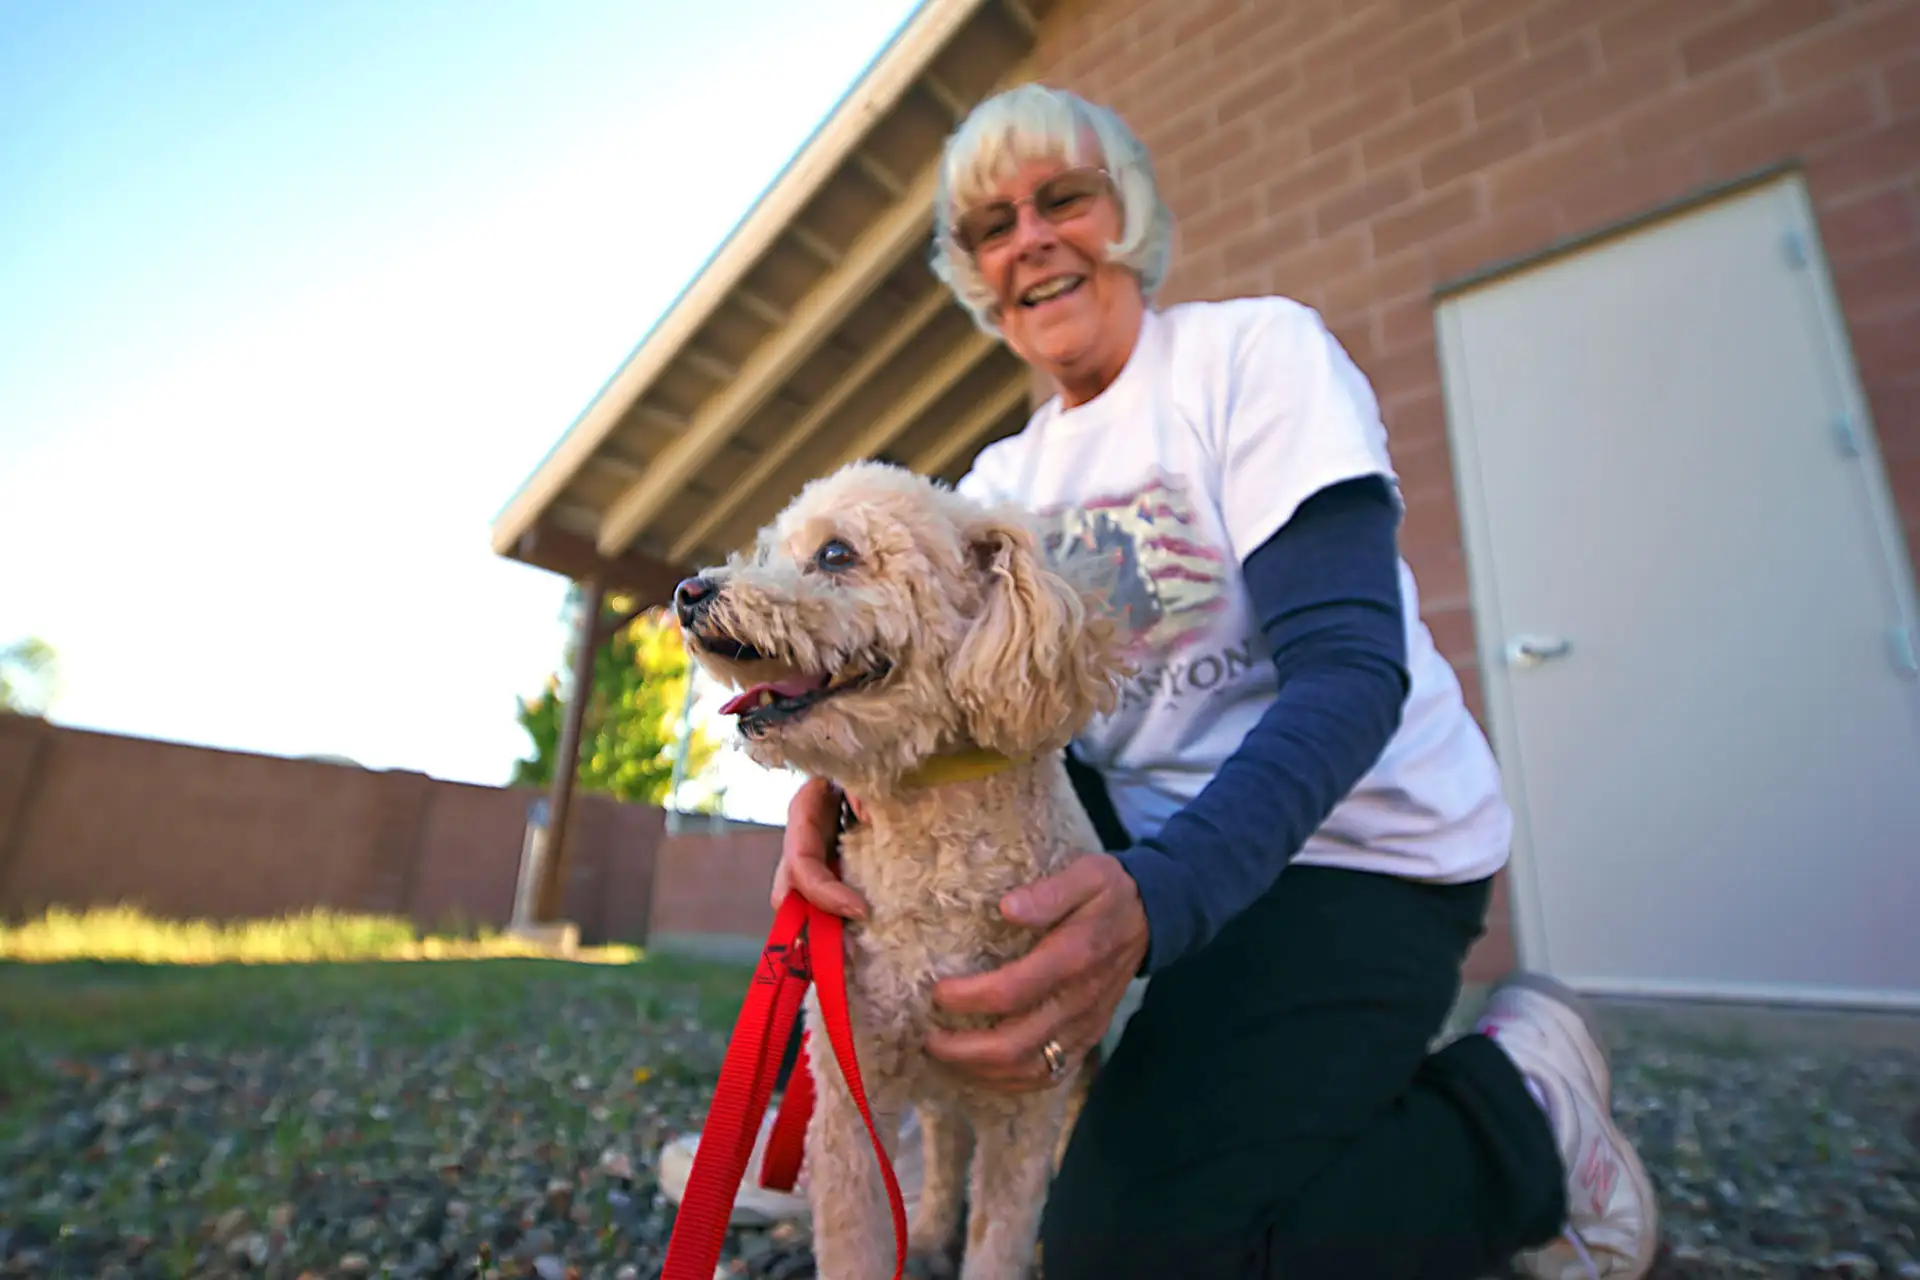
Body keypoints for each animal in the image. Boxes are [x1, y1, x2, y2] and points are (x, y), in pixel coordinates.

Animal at [675, 462, 1121, 1280]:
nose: (688, 592)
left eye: (836, 554)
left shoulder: (1029, 1099)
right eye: (772, 550)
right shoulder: (853, 1081)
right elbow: (855, 1235)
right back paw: (935, 1234)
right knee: (945, 1144)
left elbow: (1002, 1237)